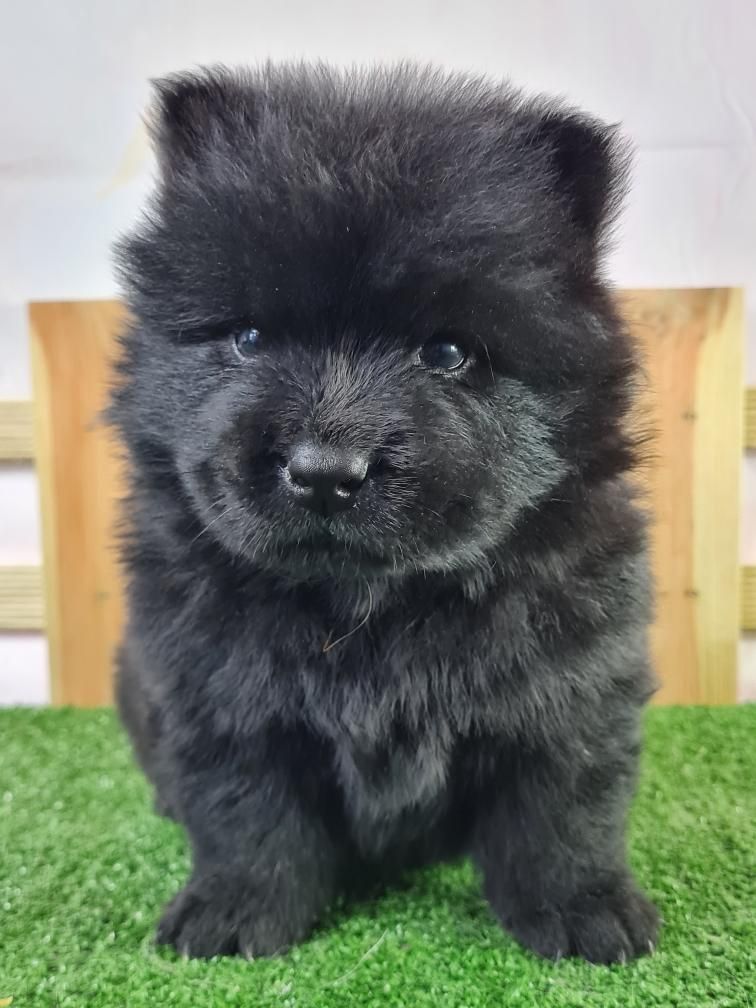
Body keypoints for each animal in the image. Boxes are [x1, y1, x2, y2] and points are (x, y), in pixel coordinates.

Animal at [111, 62, 659, 963]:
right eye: (250, 338)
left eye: (447, 353)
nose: (325, 472)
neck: (370, 609)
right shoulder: (217, 690)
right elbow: (243, 813)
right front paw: (234, 914)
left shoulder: (573, 684)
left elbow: (564, 811)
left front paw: (586, 912)